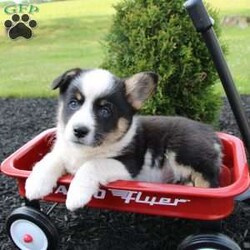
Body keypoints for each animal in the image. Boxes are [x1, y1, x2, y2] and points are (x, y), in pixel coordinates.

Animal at [24, 69, 221, 211]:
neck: (88, 150)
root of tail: (212, 134)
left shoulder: (129, 164)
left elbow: (92, 165)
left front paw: (76, 196)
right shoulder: (64, 151)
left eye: (105, 110)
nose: (79, 131)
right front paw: (35, 185)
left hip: (184, 151)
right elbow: (50, 159)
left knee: (211, 183)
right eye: (73, 103)